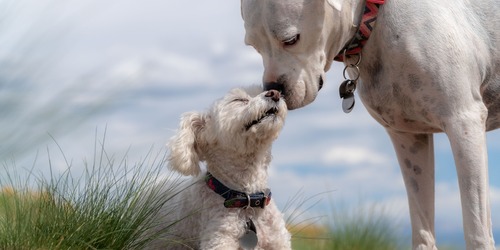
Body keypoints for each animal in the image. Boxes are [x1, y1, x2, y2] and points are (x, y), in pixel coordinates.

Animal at [241, 0, 500, 250]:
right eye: (254, 46)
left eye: (291, 40)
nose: (274, 89)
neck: (374, 18)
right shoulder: (409, 138)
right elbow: (422, 230)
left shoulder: (463, 122)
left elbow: (477, 231)